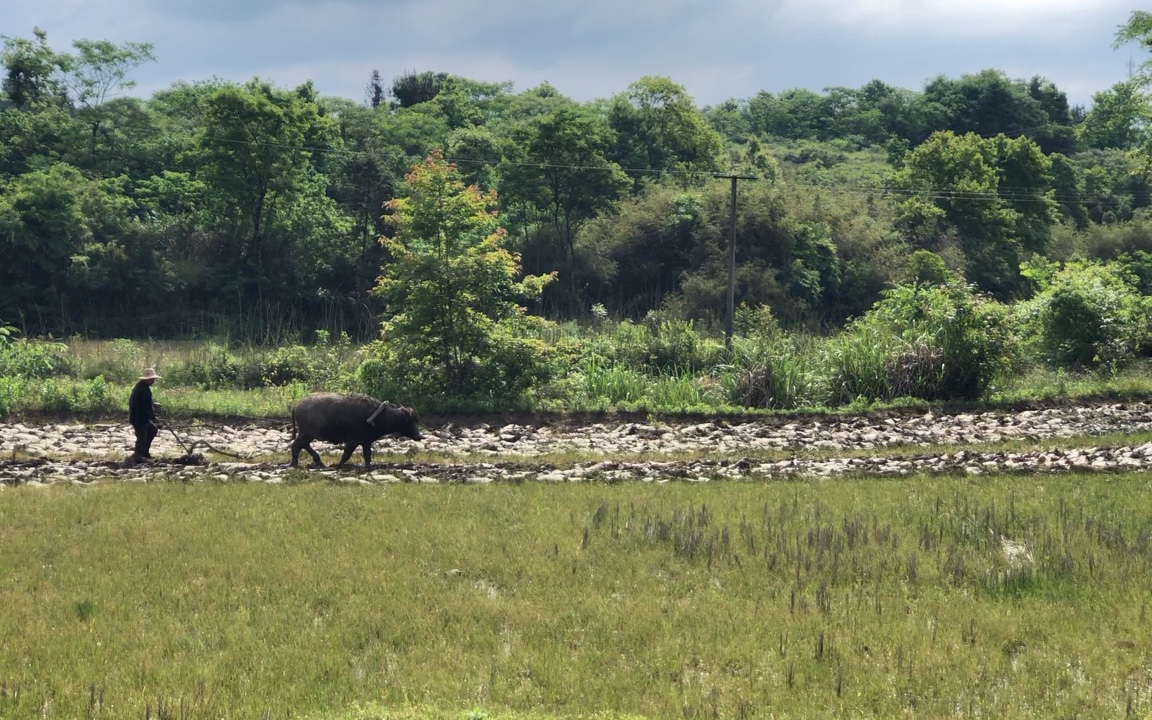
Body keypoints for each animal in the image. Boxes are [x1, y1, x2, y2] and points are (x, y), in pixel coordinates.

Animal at [288, 389, 423, 470]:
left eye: (416, 420)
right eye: (411, 421)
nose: (419, 436)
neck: (380, 417)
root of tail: (297, 405)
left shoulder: (366, 442)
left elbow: (367, 455)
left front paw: (368, 466)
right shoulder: (353, 441)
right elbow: (346, 454)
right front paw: (338, 465)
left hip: (307, 434)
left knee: (301, 445)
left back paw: (317, 461)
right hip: (306, 433)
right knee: (296, 445)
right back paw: (296, 463)